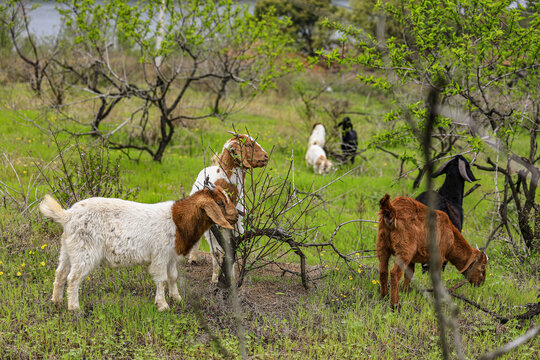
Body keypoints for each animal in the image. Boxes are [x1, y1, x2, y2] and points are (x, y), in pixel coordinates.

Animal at [39, 184, 237, 310]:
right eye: (220, 202)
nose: (236, 216)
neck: (178, 222)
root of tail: (68, 215)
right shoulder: (160, 257)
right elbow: (162, 280)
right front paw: (163, 305)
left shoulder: (171, 257)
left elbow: (173, 277)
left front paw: (177, 298)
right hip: (84, 252)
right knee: (73, 279)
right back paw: (75, 308)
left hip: (67, 250)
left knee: (60, 273)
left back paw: (56, 301)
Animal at [187, 134, 268, 282]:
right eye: (248, 144)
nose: (266, 157)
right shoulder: (211, 228)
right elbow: (216, 252)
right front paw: (214, 279)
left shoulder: (237, 224)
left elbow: (232, 250)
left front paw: (232, 276)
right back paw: (193, 259)